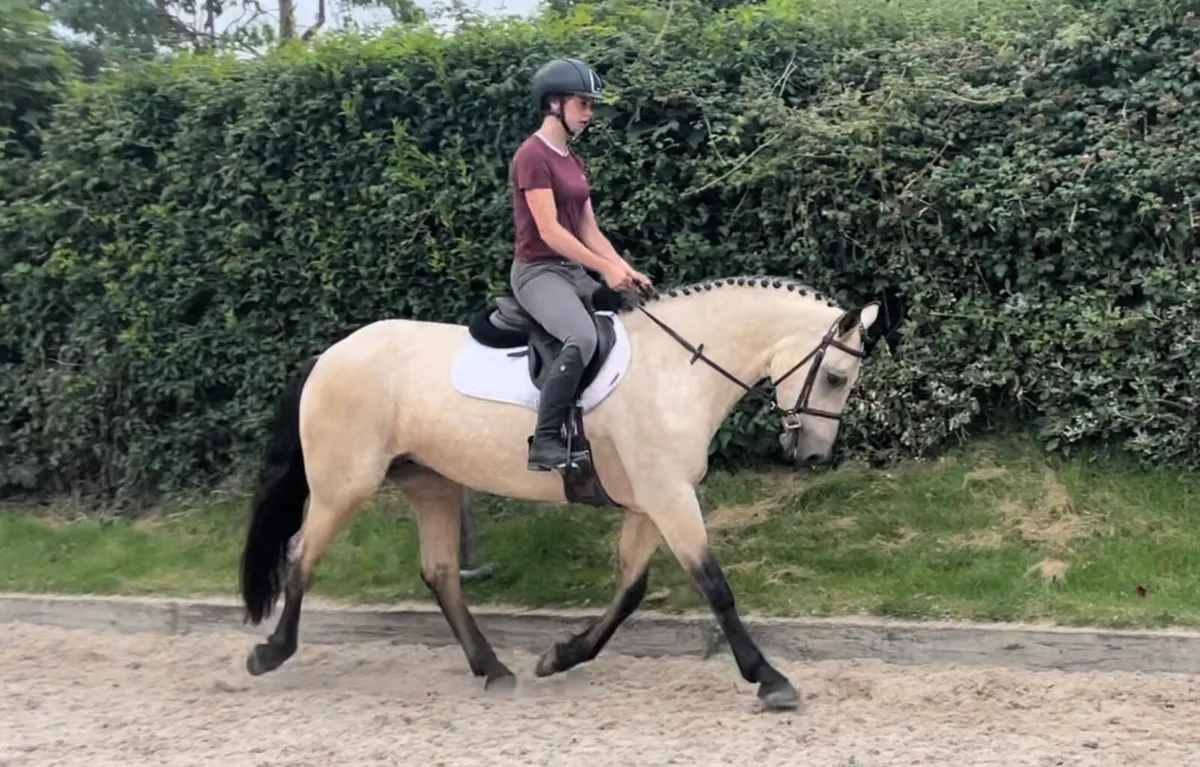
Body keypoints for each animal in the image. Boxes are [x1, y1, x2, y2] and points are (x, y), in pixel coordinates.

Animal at [238, 273, 880, 711]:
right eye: (834, 377)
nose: (813, 456)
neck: (679, 369)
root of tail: (329, 355)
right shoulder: (669, 496)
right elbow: (714, 585)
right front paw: (770, 680)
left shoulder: (652, 501)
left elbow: (632, 588)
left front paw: (561, 656)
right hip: (344, 483)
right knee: (302, 556)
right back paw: (270, 652)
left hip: (431, 484)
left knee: (441, 573)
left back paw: (494, 669)